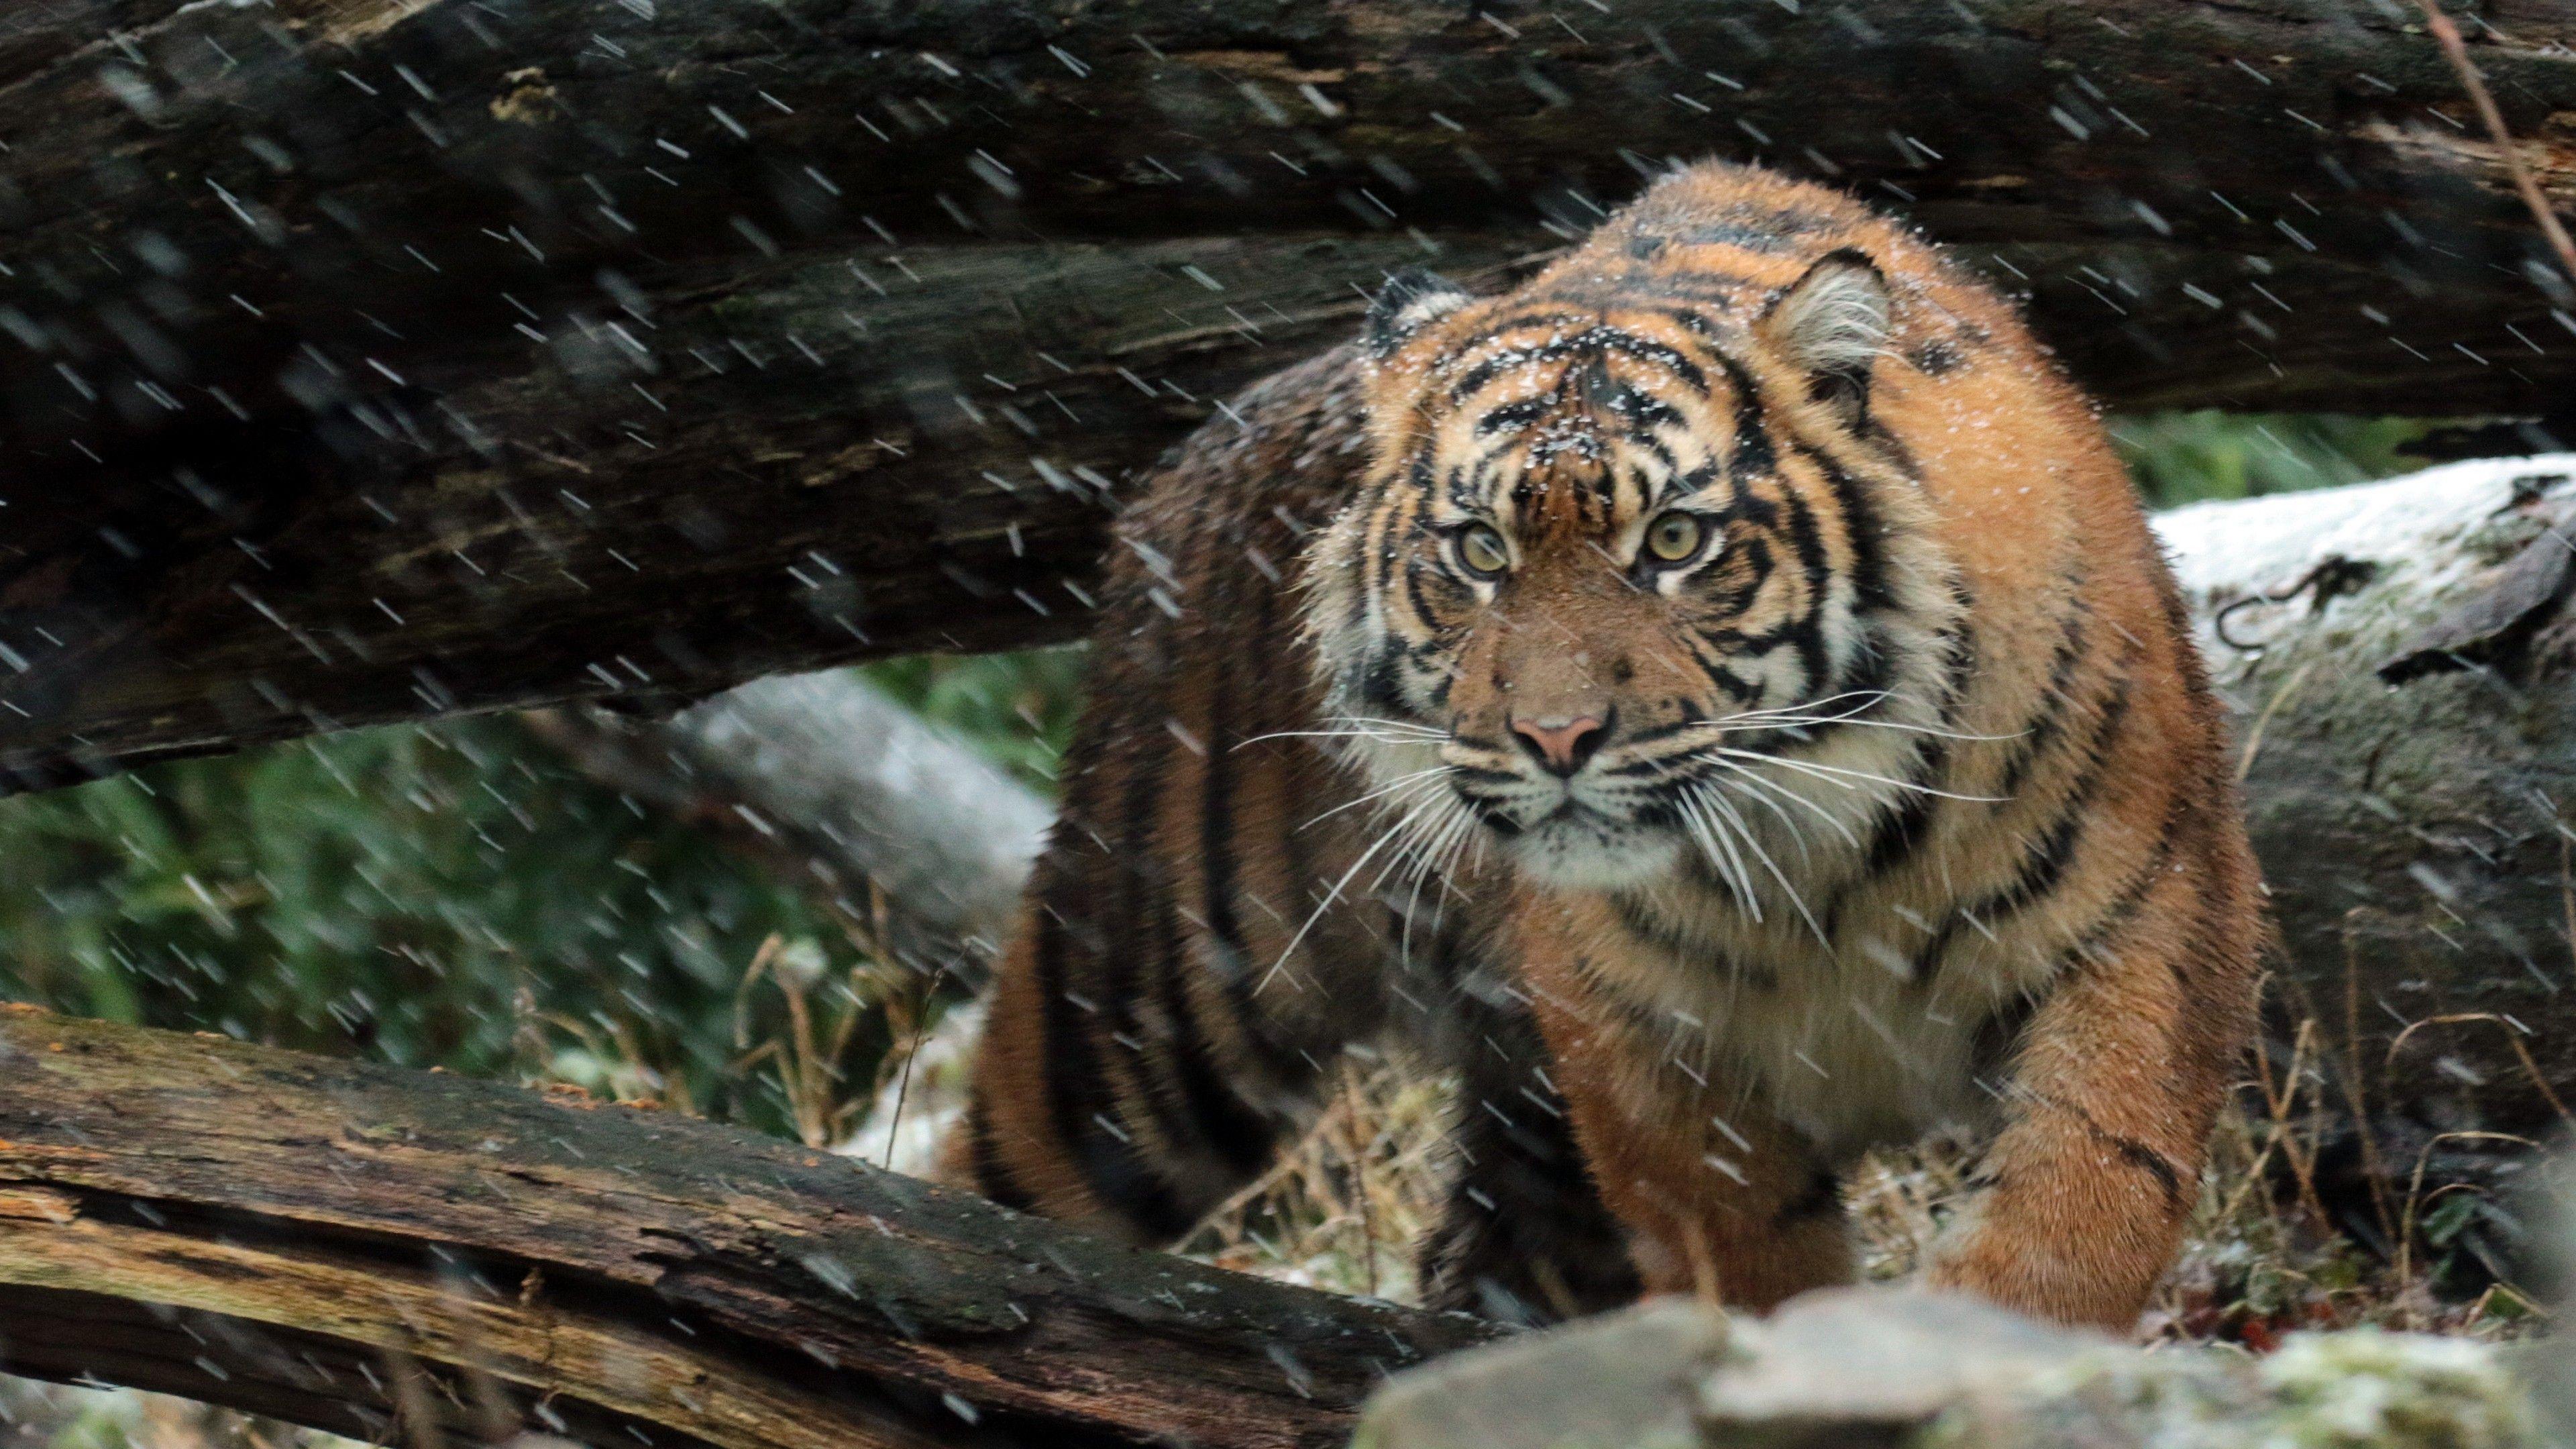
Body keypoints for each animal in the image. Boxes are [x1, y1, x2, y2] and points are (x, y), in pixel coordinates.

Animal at [939, 159, 2266, 1332]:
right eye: (1479, 552)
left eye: (1674, 541)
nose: (1557, 735)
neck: (1818, 862)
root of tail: (1182, 458)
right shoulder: (1633, 1037)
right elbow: (1746, 1249)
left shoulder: (2150, 919)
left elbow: (2081, 1208)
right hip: (1147, 1008)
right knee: (989, 1189)